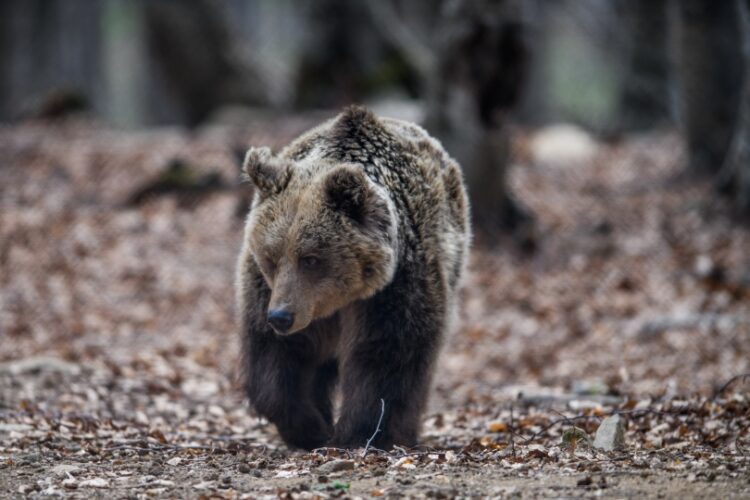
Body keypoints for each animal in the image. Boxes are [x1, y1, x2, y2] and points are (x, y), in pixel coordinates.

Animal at [238, 105, 470, 450]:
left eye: (311, 259)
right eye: (271, 257)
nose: (281, 317)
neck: (337, 301)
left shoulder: (394, 285)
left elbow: (386, 355)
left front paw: (359, 432)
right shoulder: (269, 291)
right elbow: (277, 358)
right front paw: (310, 427)